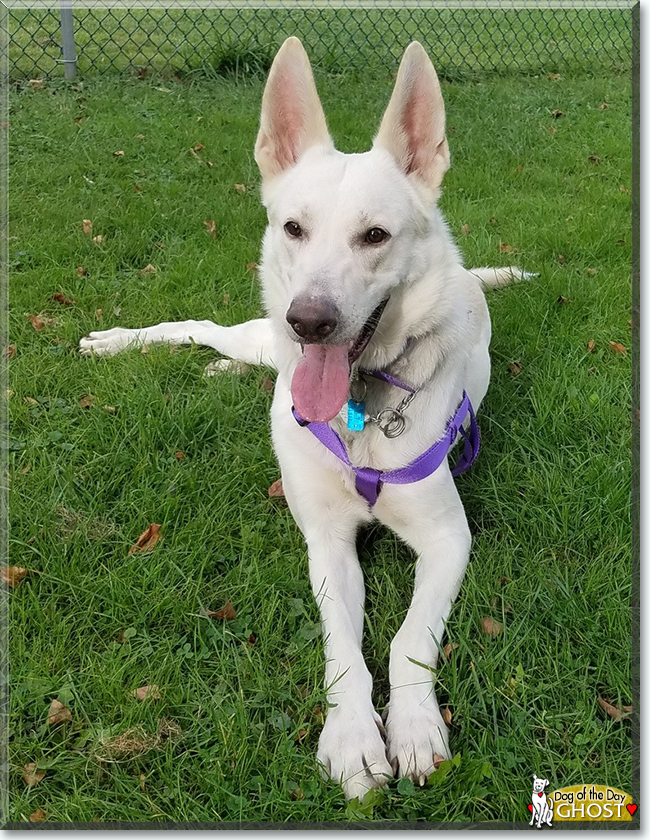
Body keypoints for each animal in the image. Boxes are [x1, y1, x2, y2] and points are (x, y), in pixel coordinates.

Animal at [81, 37, 528, 800]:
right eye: (294, 228)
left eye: (375, 236)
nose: (310, 321)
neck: (360, 408)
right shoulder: (326, 543)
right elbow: (344, 647)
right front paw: (353, 740)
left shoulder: (448, 538)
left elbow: (407, 640)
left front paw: (413, 728)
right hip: (259, 334)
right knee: (205, 328)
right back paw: (117, 342)